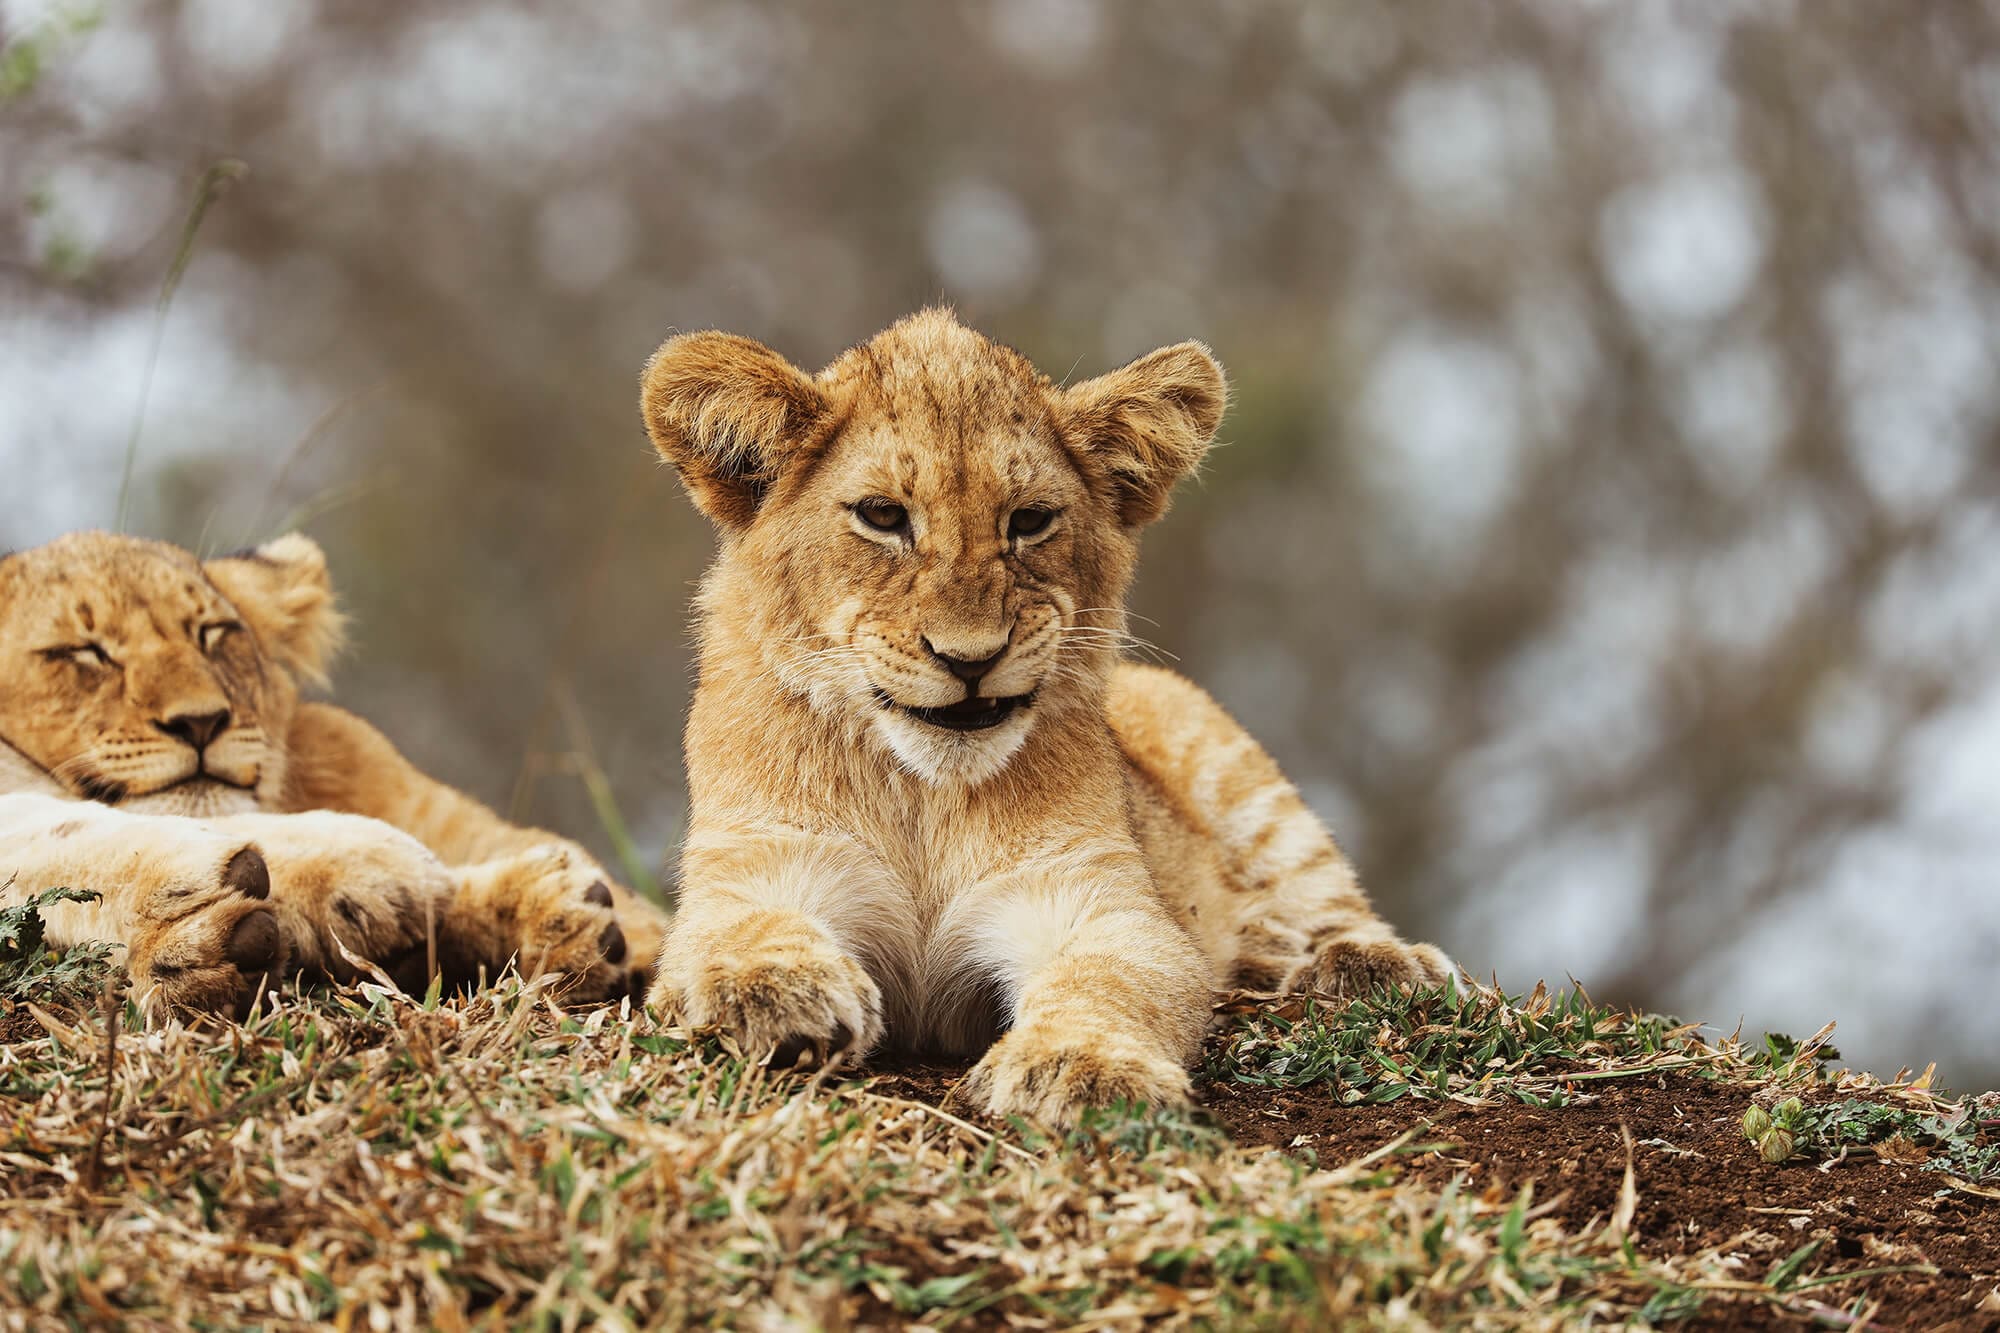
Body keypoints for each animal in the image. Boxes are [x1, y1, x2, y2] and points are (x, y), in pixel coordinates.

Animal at [638, 308, 1454, 1125]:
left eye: (1029, 520)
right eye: (882, 516)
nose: (970, 658)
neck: (922, 798)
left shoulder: (1098, 899)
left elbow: (1108, 980)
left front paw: (1082, 1065)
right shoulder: (757, 859)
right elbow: (740, 926)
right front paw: (773, 991)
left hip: (1227, 760)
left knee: (1322, 892)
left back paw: (1366, 964)